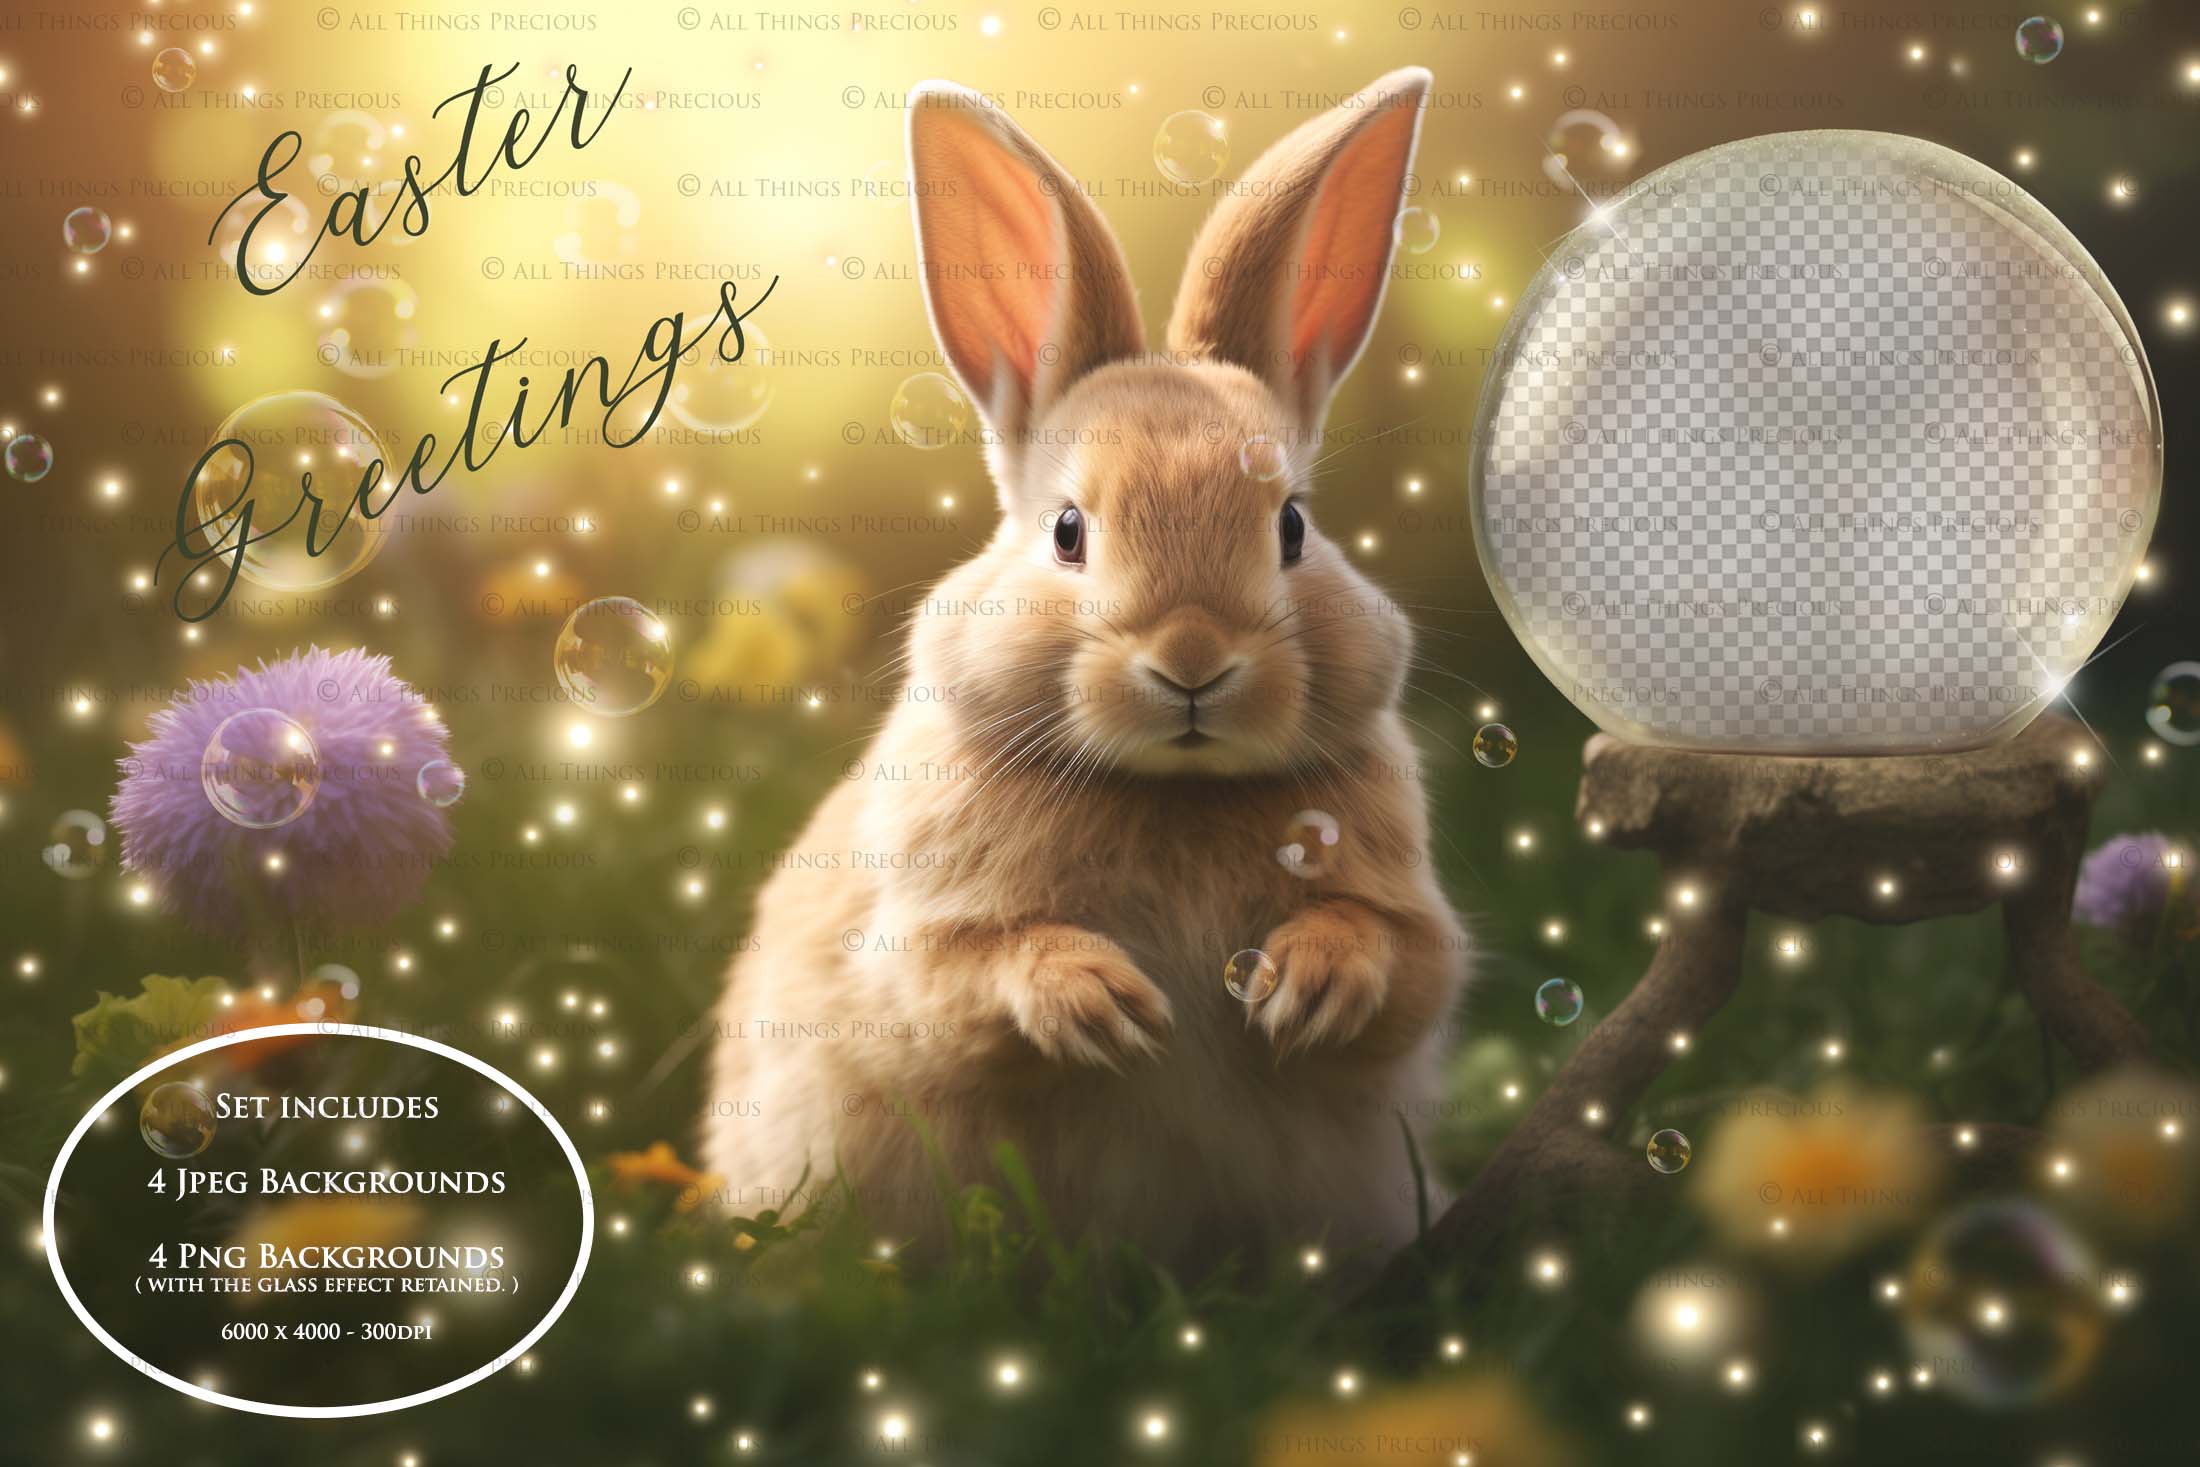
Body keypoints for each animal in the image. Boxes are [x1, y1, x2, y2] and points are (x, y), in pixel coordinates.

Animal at [703, 68, 1467, 1278]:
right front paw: (1102, 1003)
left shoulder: (1411, 921)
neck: (1172, 792)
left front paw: (1303, 985)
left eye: (1292, 527)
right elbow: (962, 979)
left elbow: (1397, 956)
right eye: (1069, 531)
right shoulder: (915, 949)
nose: (1193, 661)